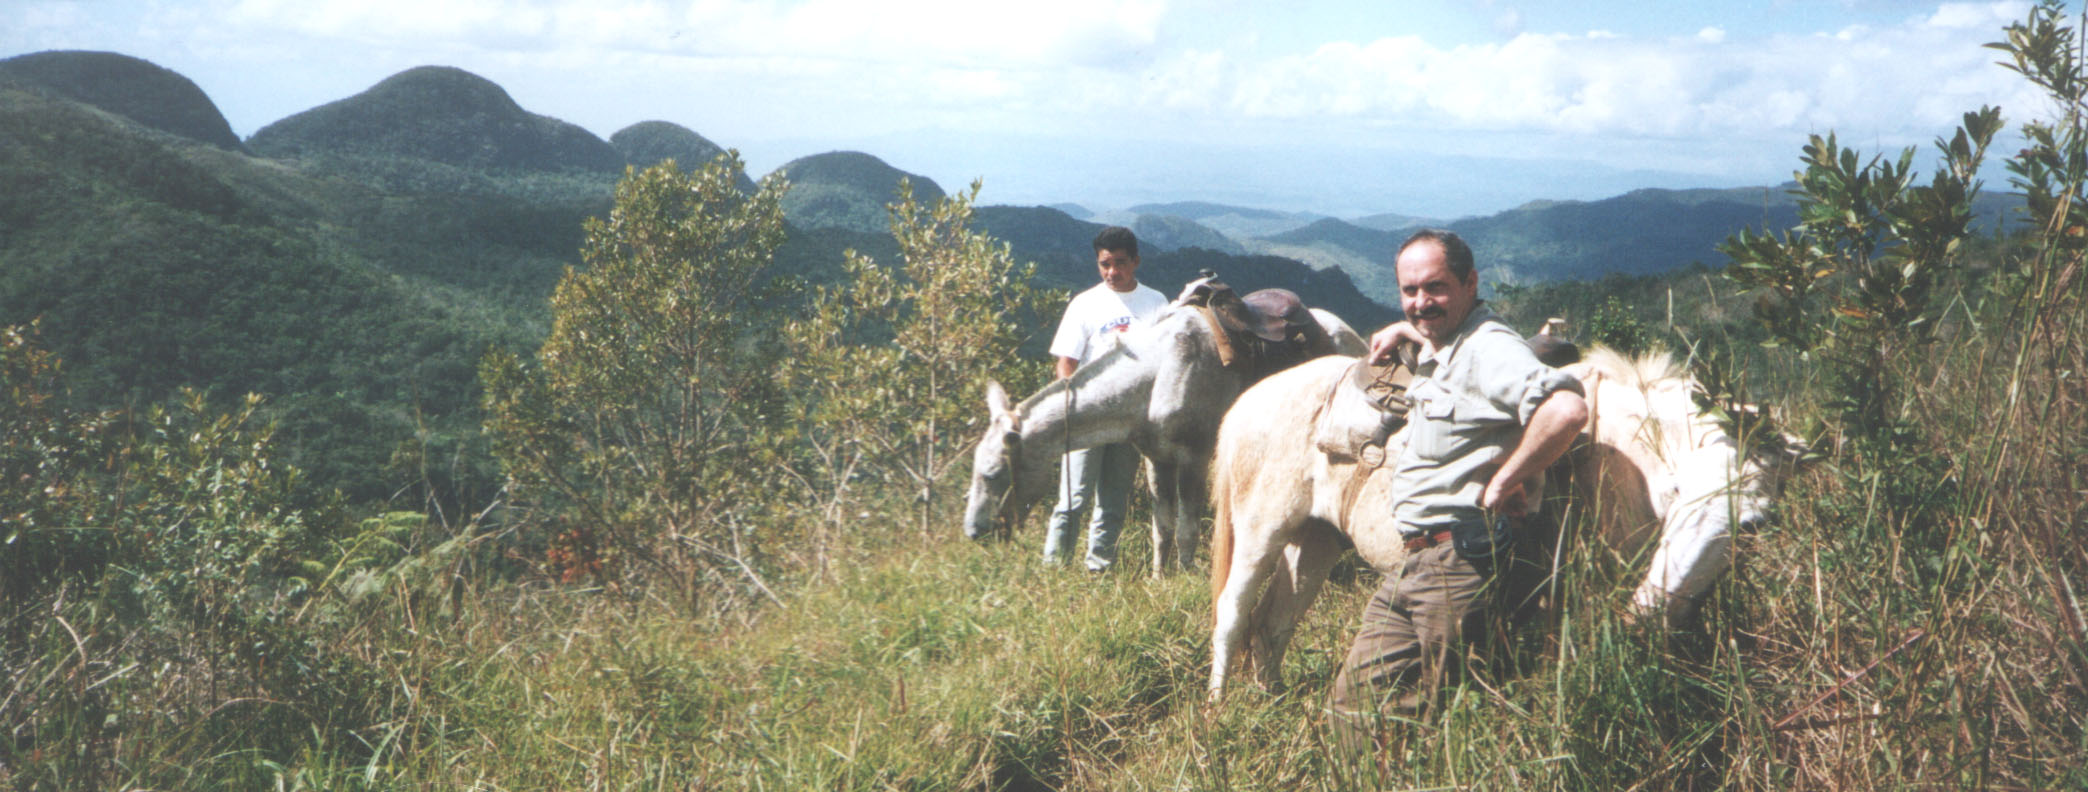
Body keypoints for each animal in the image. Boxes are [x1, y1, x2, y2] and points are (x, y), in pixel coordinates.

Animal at [964, 300, 1369, 572]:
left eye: (993, 474)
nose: (974, 532)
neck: (1156, 377)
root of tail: (1356, 339)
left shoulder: (1194, 457)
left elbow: (1187, 526)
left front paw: (1186, 574)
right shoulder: (1156, 459)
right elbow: (1162, 526)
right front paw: (1160, 575)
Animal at [1211, 346, 1795, 702]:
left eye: (1754, 524)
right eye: (1677, 492)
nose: (1651, 609)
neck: (1611, 461)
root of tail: (1244, 402)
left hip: (1316, 541)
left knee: (1274, 622)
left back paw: (1270, 697)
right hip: (1261, 531)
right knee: (1234, 613)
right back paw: (1220, 706)